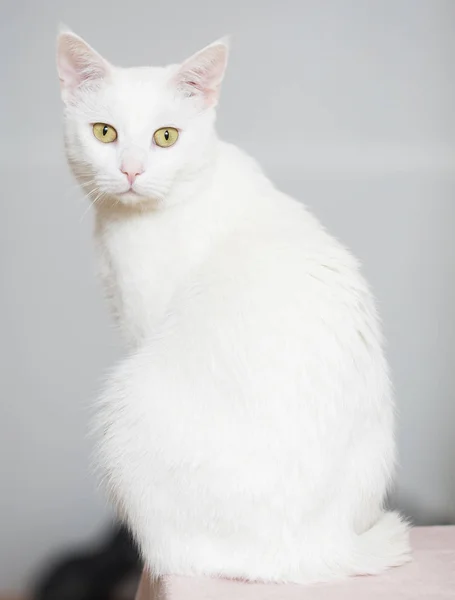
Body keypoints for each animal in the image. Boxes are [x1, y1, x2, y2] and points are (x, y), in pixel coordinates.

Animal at [58, 30, 414, 584]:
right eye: (104, 132)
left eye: (166, 136)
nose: (131, 170)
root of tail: (323, 545)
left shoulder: (142, 321)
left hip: (125, 404)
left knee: (185, 557)